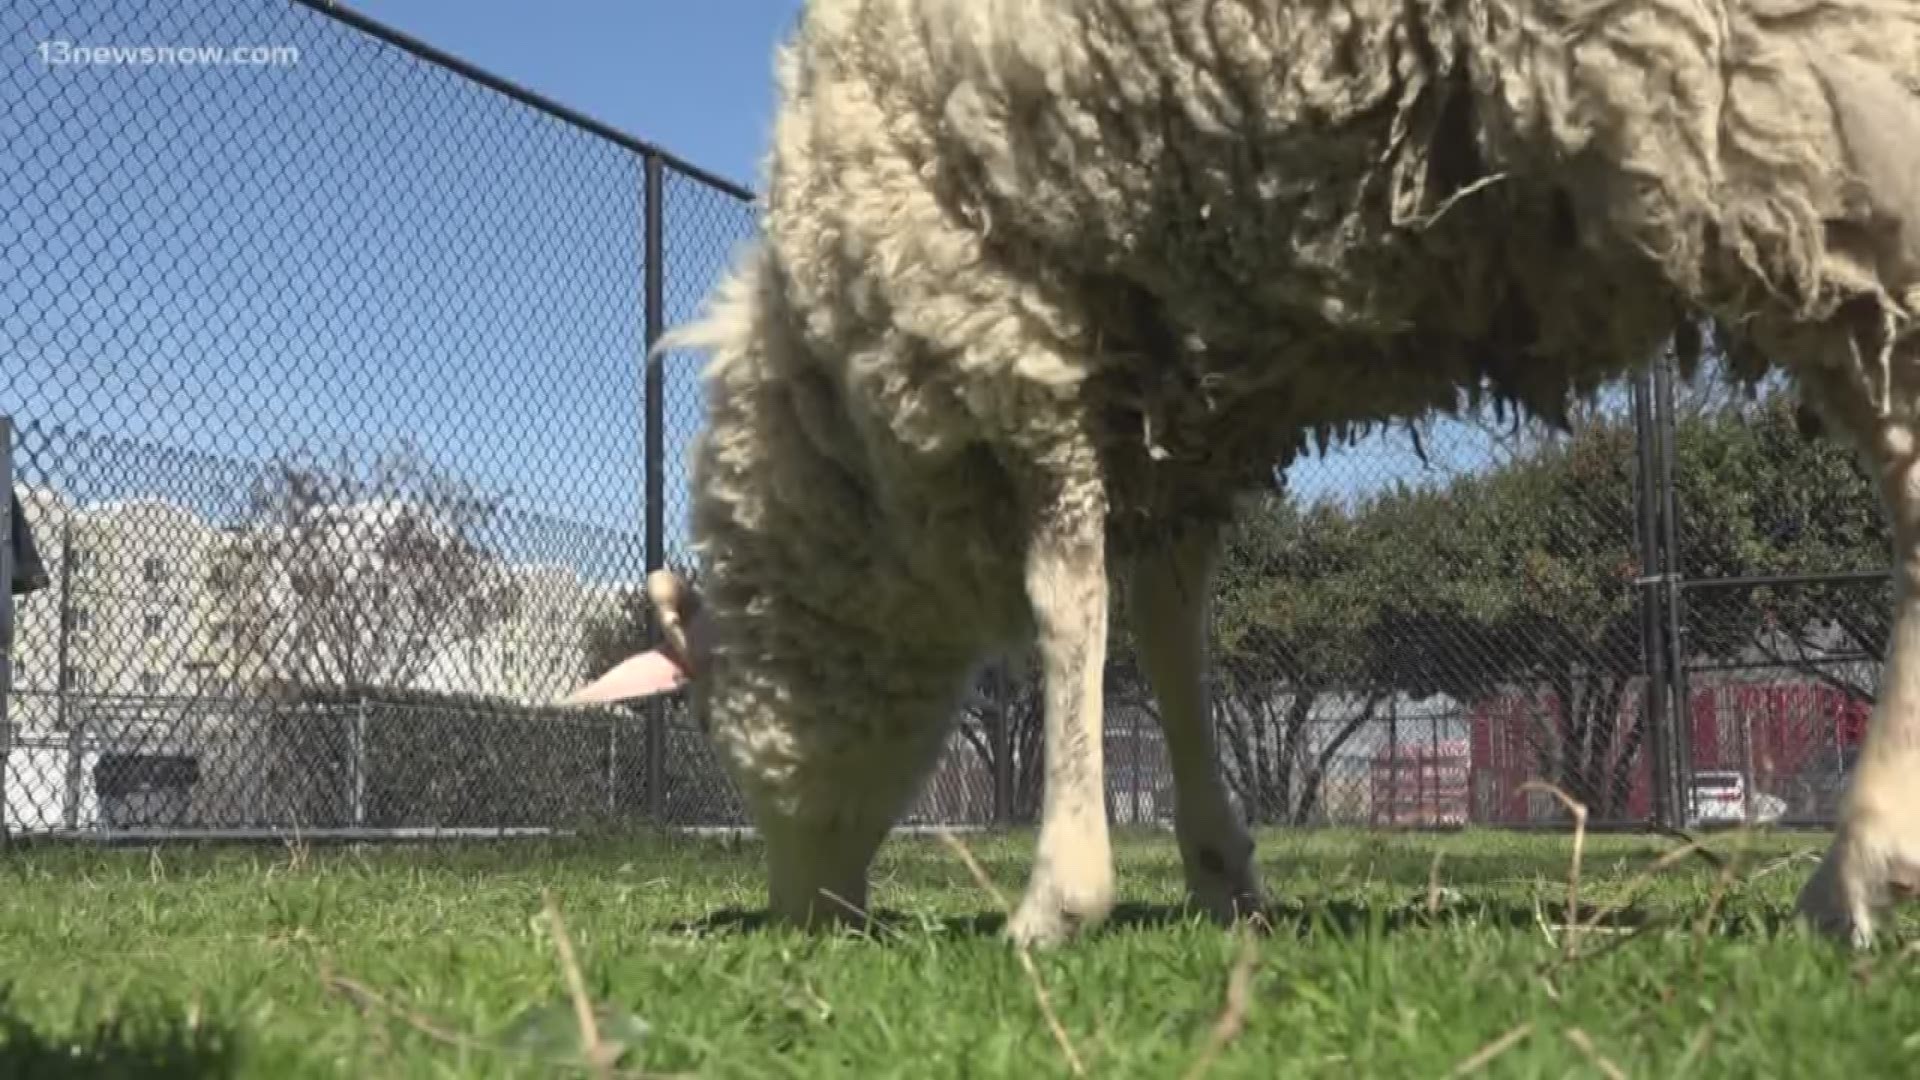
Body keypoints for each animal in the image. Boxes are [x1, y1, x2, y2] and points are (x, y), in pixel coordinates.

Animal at [568, 0, 1920, 941]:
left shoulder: (1019, 327)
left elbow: (1071, 607)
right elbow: (1173, 631)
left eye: (711, 723)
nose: (806, 920)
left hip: (1809, 110)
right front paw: (1222, 874)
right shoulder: (1187, 401)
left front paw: (1061, 896)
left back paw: (1856, 868)